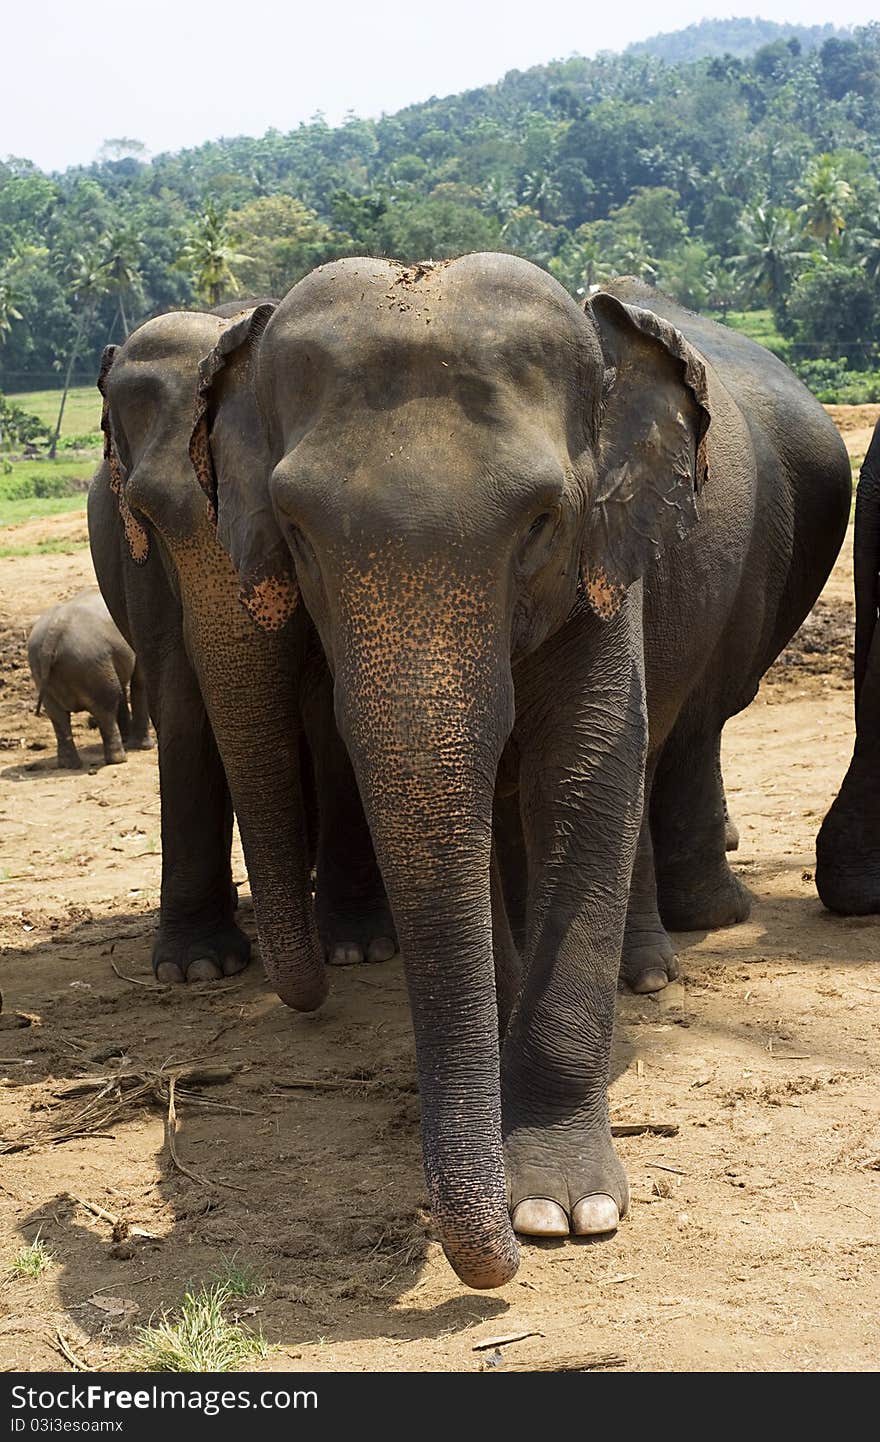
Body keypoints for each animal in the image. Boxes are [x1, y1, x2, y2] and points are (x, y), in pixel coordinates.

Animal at [26, 585, 150, 767]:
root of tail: (53, 633)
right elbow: (140, 682)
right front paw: (144, 746)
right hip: (91, 663)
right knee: (106, 706)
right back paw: (118, 760)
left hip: (42, 667)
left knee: (57, 715)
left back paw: (69, 765)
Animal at [194, 256, 848, 1286]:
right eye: (295, 532)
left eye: (542, 520)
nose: (494, 1262)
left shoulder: (604, 566)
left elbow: (585, 778)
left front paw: (560, 1209)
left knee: (668, 740)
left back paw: (649, 972)